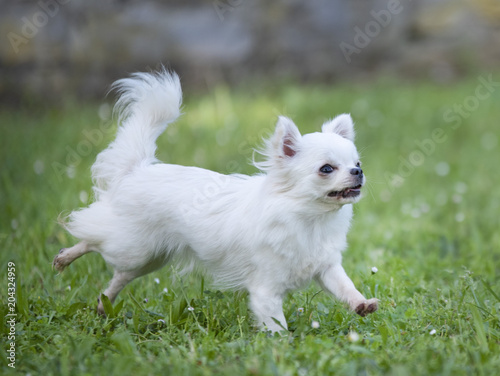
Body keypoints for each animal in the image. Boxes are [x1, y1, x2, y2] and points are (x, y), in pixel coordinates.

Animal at [53, 70, 376, 332]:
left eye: (358, 162)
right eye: (326, 169)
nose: (358, 172)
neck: (311, 218)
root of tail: (138, 169)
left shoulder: (326, 267)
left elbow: (345, 286)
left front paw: (361, 304)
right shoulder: (265, 291)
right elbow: (276, 326)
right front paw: (282, 348)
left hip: (149, 257)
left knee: (118, 276)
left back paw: (103, 304)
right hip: (132, 246)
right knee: (91, 235)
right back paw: (65, 257)